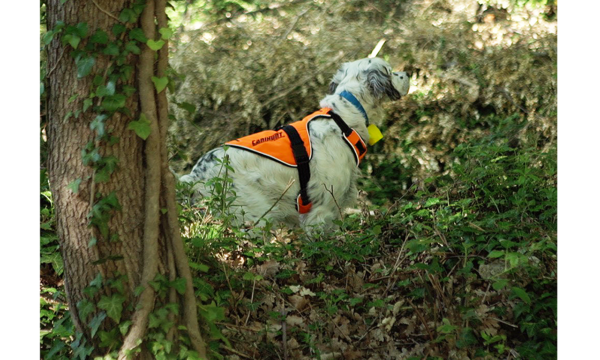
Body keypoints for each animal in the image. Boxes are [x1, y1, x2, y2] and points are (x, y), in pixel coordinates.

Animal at [180, 56, 410, 231]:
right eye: (390, 71)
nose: (407, 73)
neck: (342, 116)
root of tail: (196, 176)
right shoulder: (322, 209)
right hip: (253, 215)